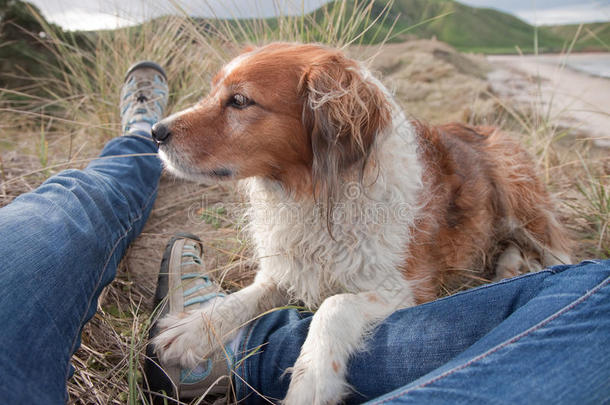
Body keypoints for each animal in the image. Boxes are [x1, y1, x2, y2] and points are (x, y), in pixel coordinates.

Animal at [150, 42, 568, 402]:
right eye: (213, 91)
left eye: (239, 101)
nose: (155, 132)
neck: (316, 194)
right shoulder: (288, 269)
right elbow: (243, 298)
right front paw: (194, 327)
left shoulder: (406, 288)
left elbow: (335, 305)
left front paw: (312, 378)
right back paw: (511, 266)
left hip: (516, 189)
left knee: (554, 246)